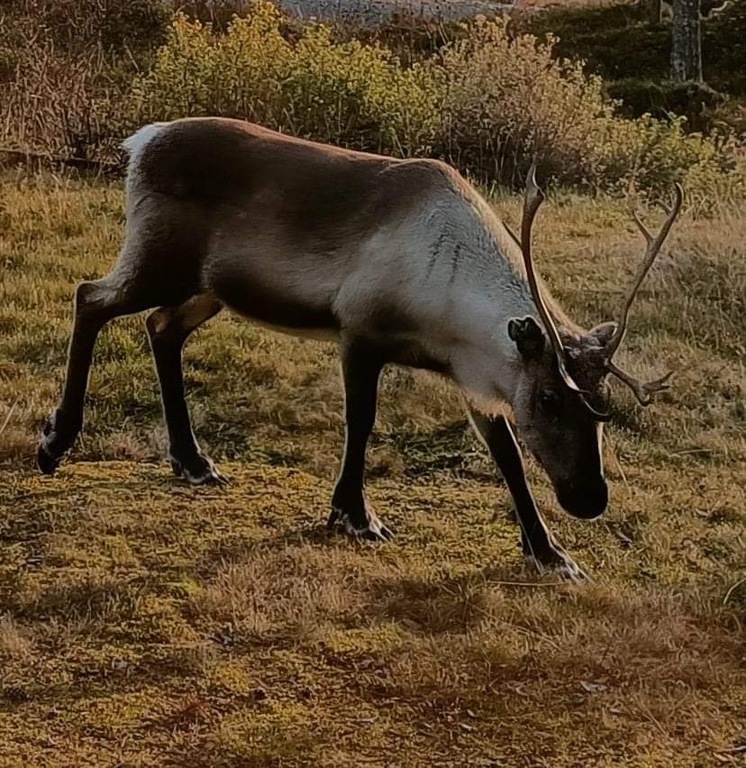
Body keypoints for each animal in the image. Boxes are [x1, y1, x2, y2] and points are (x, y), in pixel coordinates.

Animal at [37, 117, 682, 580]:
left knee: (161, 329)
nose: (590, 498)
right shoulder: (361, 331)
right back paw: (55, 443)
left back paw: (193, 461)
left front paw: (550, 552)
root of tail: (141, 140)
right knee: (90, 297)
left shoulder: (475, 376)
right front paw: (354, 514)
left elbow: (507, 456)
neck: (449, 306)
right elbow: (362, 420)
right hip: (159, 260)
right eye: (550, 398)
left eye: (604, 406)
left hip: (207, 289)